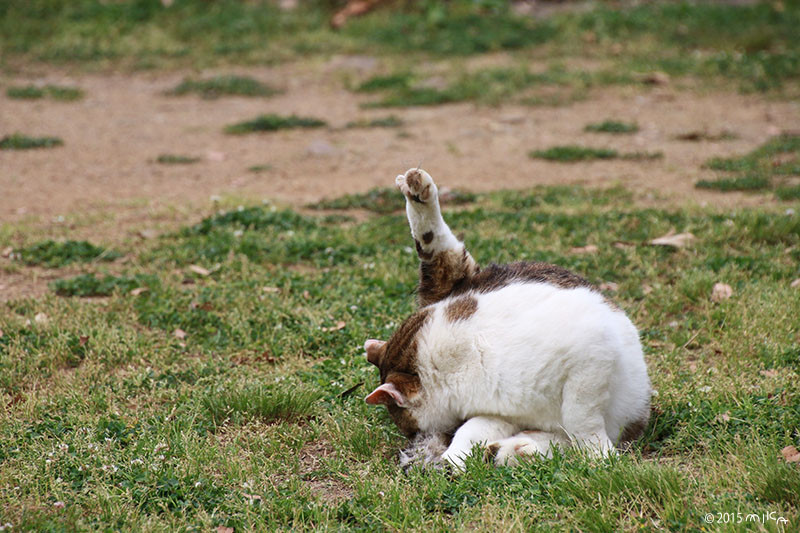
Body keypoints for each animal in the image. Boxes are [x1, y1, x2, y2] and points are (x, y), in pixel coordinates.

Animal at [362, 168, 648, 468]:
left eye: (408, 426)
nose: (415, 438)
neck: (456, 368)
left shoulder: (591, 355)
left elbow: (581, 419)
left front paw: (599, 454)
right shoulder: (502, 411)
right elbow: (476, 426)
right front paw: (457, 457)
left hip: (462, 281)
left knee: (437, 248)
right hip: (458, 281)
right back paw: (511, 451)